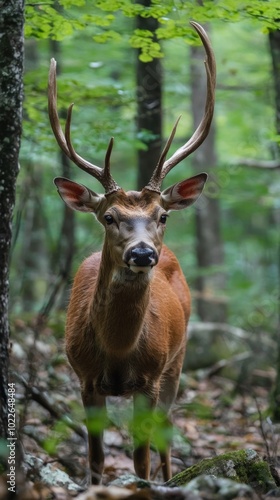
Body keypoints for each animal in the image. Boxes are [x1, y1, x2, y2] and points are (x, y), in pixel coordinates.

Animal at [47, 22, 214, 484]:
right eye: (109, 216)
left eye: (162, 215)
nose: (142, 253)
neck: (119, 352)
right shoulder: (84, 378)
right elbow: (96, 458)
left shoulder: (151, 378)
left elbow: (140, 457)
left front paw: (144, 484)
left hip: (179, 357)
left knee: (168, 430)